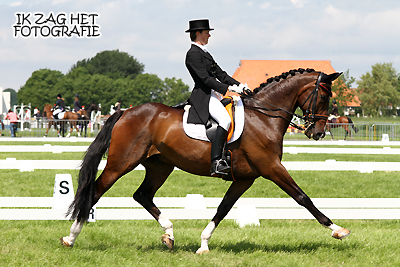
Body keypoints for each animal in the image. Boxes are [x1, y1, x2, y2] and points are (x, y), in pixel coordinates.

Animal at [60, 68, 350, 253]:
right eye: (325, 96)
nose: (318, 133)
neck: (263, 117)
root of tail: (126, 111)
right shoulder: (271, 168)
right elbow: (303, 197)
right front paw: (337, 229)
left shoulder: (245, 178)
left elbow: (223, 208)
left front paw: (203, 244)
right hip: (121, 163)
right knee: (95, 191)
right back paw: (71, 237)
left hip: (160, 165)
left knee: (142, 195)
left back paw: (169, 235)